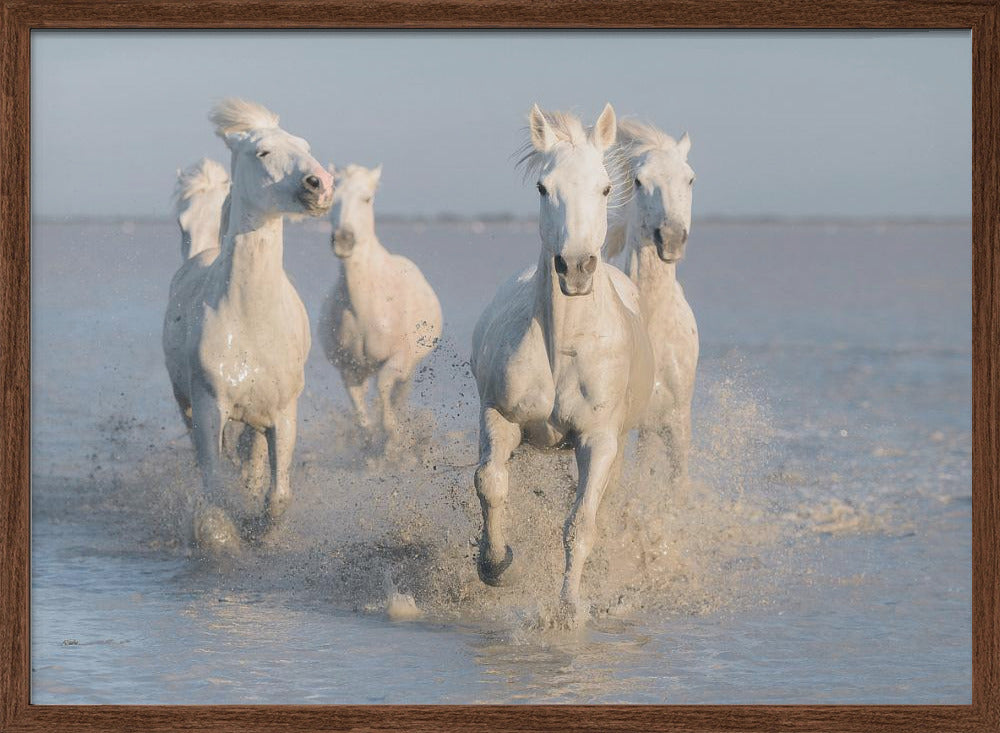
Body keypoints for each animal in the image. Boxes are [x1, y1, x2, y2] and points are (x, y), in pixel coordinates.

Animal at [162, 98, 334, 554]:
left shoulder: (283, 414)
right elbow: (214, 491)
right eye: (263, 152)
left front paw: (259, 528)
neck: (250, 321)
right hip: (185, 403)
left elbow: (277, 495)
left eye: (304, 145)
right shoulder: (208, 408)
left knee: (252, 455)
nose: (321, 184)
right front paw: (224, 535)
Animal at [318, 164, 442, 450]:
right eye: (332, 199)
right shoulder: (349, 368)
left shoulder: (400, 358)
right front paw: (370, 440)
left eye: (367, 198)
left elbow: (386, 387)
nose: (344, 240)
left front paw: (393, 437)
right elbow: (360, 411)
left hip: (410, 367)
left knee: (399, 393)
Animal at [470, 104, 654, 622]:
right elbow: (490, 483)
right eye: (542, 187)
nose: (575, 268)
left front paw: (569, 608)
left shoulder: (598, 439)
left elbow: (581, 523)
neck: (565, 347)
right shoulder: (500, 416)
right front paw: (495, 564)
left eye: (605, 187)